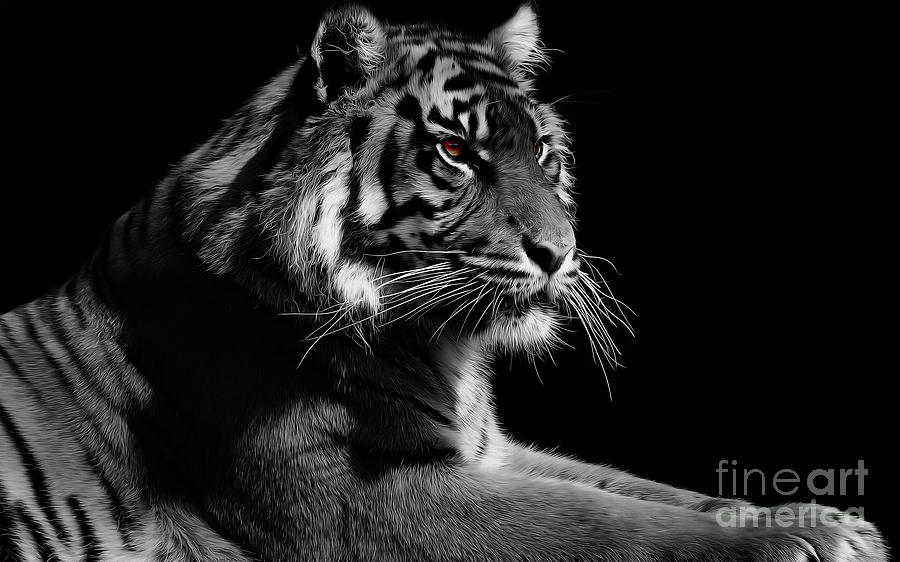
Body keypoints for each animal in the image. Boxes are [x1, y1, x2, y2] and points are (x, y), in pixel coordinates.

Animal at [0, 3, 887, 561]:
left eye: (545, 154)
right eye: (458, 152)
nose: (561, 253)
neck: (441, 348)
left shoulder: (487, 453)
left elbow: (631, 486)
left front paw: (817, 517)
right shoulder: (364, 493)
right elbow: (601, 522)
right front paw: (786, 543)